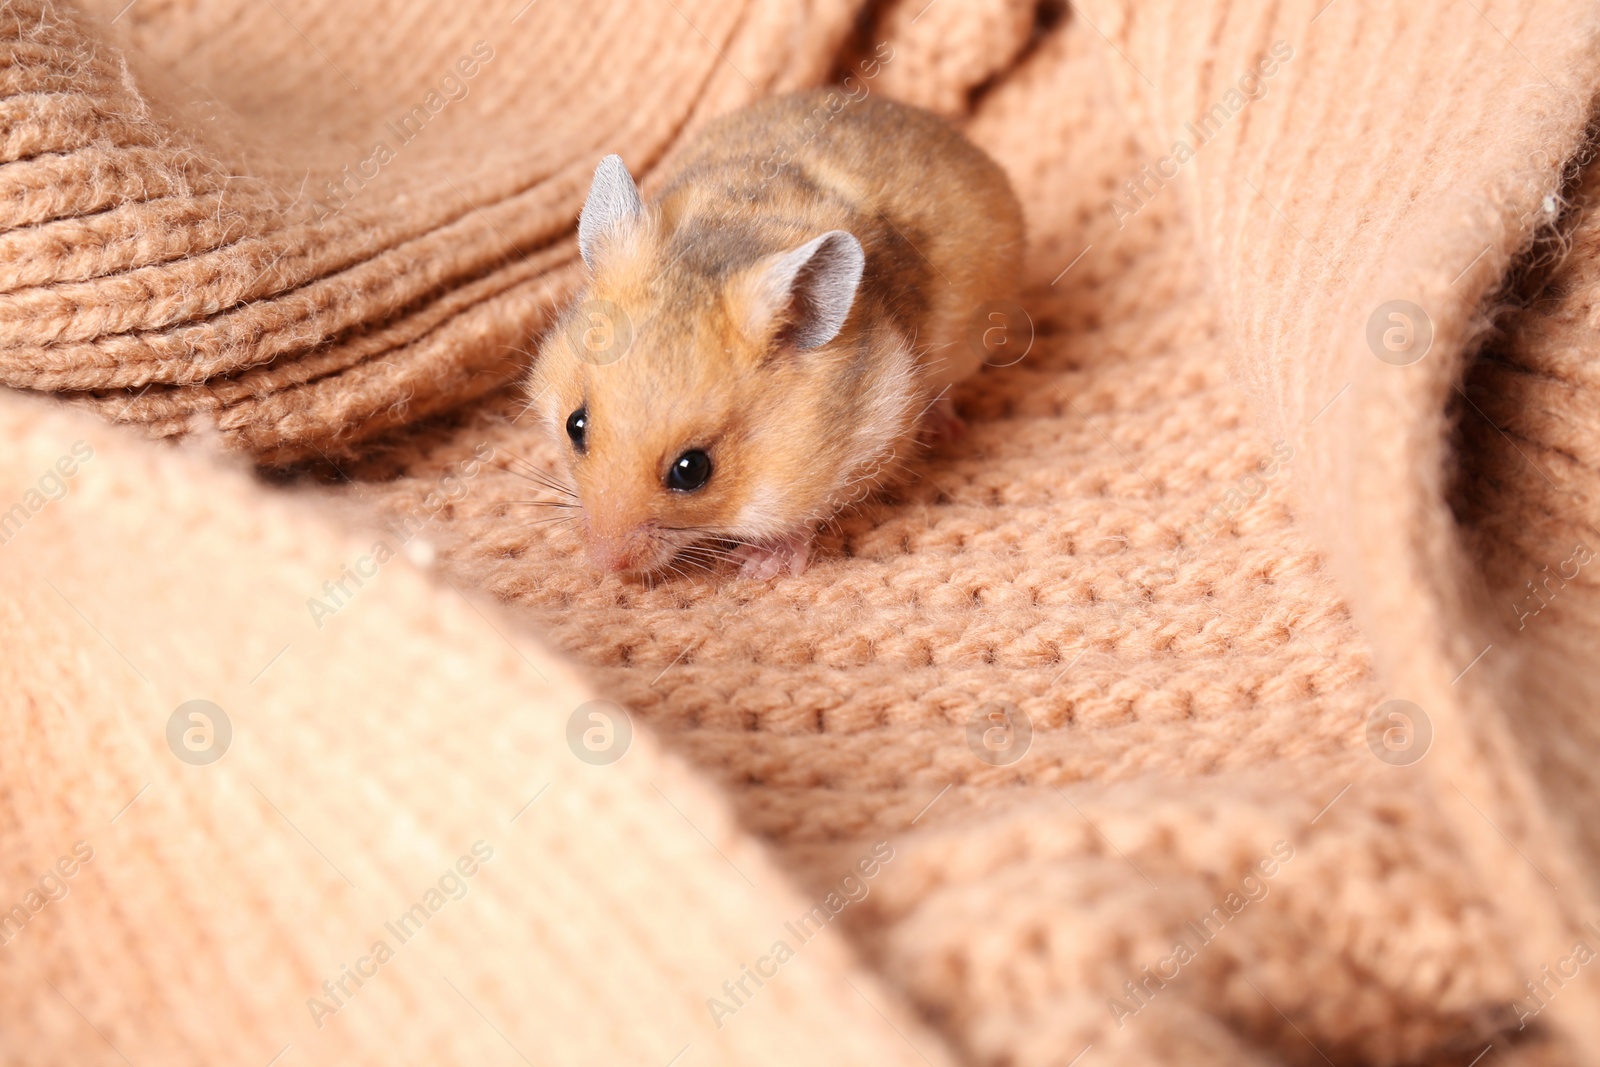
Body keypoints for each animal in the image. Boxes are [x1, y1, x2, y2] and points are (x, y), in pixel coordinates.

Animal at [528, 87, 1024, 579]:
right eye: (575, 425)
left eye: (692, 470)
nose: (603, 564)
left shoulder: (869, 443)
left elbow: (805, 515)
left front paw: (758, 567)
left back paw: (944, 431)